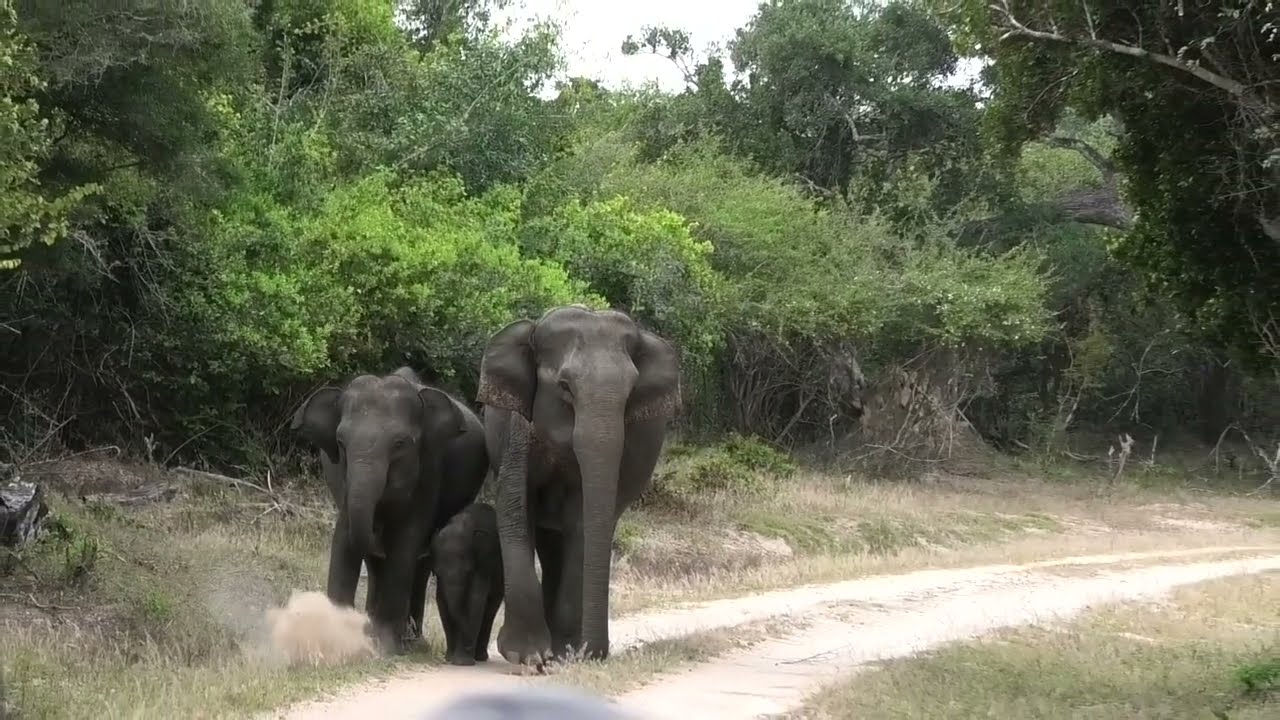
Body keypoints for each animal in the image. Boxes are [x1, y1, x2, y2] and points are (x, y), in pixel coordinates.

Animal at [291, 366, 489, 651]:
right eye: (340, 443)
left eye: (399, 444)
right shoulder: (343, 480)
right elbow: (343, 538)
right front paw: (342, 638)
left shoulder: (429, 471)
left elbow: (406, 542)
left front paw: (386, 647)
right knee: (377, 564)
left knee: (420, 563)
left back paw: (412, 641)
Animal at [430, 502, 504, 666]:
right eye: (437, 572)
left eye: (468, 572)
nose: (469, 645)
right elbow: (441, 602)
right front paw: (450, 659)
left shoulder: (485, 563)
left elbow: (475, 599)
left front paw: (462, 662)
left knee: (490, 610)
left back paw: (480, 657)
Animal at [476, 305, 681, 665]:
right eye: (564, 386)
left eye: (631, 393)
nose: (593, 654)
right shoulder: (517, 429)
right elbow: (515, 509)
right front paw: (528, 657)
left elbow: (582, 522)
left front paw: (567, 654)